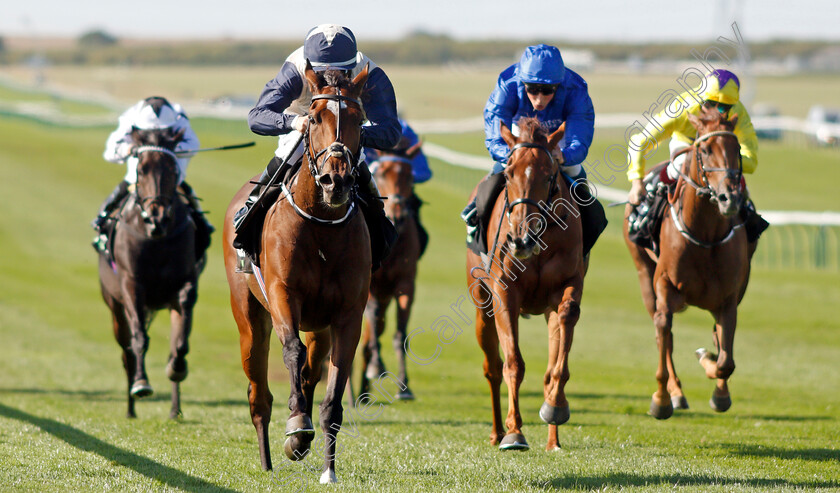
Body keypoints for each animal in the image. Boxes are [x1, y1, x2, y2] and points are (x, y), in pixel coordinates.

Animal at [97, 125, 202, 418]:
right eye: (141, 169)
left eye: (172, 169)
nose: (158, 218)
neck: (156, 239)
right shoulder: (132, 286)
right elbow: (139, 340)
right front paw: (141, 384)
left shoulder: (185, 284)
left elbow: (179, 344)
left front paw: (176, 368)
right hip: (115, 308)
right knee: (127, 352)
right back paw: (131, 406)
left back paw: (175, 410)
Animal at [221, 62, 370, 484]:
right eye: (315, 117)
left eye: (358, 119)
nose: (336, 180)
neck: (321, 225)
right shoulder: (283, 297)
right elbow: (292, 352)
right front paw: (297, 426)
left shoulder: (347, 315)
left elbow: (333, 389)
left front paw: (328, 469)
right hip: (249, 318)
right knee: (259, 394)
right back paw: (267, 459)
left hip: (319, 326)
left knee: (310, 370)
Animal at [360, 140, 426, 398]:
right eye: (380, 173)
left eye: (409, 175)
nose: (398, 214)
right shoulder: (368, 284)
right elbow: (372, 324)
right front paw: (377, 367)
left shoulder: (405, 285)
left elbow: (400, 334)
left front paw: (404, 386)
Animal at [466, 118, 584, 450]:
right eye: (509, 173)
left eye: (548, 175)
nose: (521, 239)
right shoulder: (505, 293)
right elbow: (512, 364)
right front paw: (515, 432)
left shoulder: (567, 286)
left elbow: (564, 328)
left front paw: (555, 407)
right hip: (482, 306)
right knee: (492, 368)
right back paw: (497, 432)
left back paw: (553, 441)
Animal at [620, 108, 752, 418]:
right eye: (704, 149)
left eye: (736, 149)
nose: (729, 197)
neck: (705, 235)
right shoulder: (665, 286)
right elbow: (664, 331)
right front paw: (661, 400)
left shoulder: (729, 298)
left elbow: (725, 359)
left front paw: (719, 388)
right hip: (644, 274)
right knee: (663, 335)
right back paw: (675, 393)